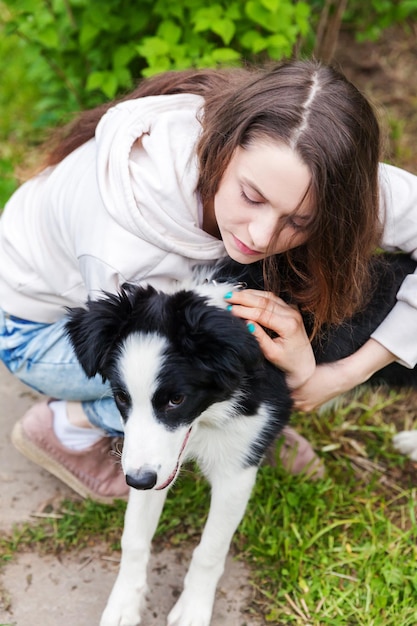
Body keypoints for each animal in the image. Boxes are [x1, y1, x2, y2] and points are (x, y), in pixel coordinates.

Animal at [65, 251, 416, 620]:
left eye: (177, 399)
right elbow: (133, 537)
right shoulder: (151, 457)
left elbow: (209, 550)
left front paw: (192, 610)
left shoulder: (234, 471)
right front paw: (123, 607)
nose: (138, 481)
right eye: (121, 397)